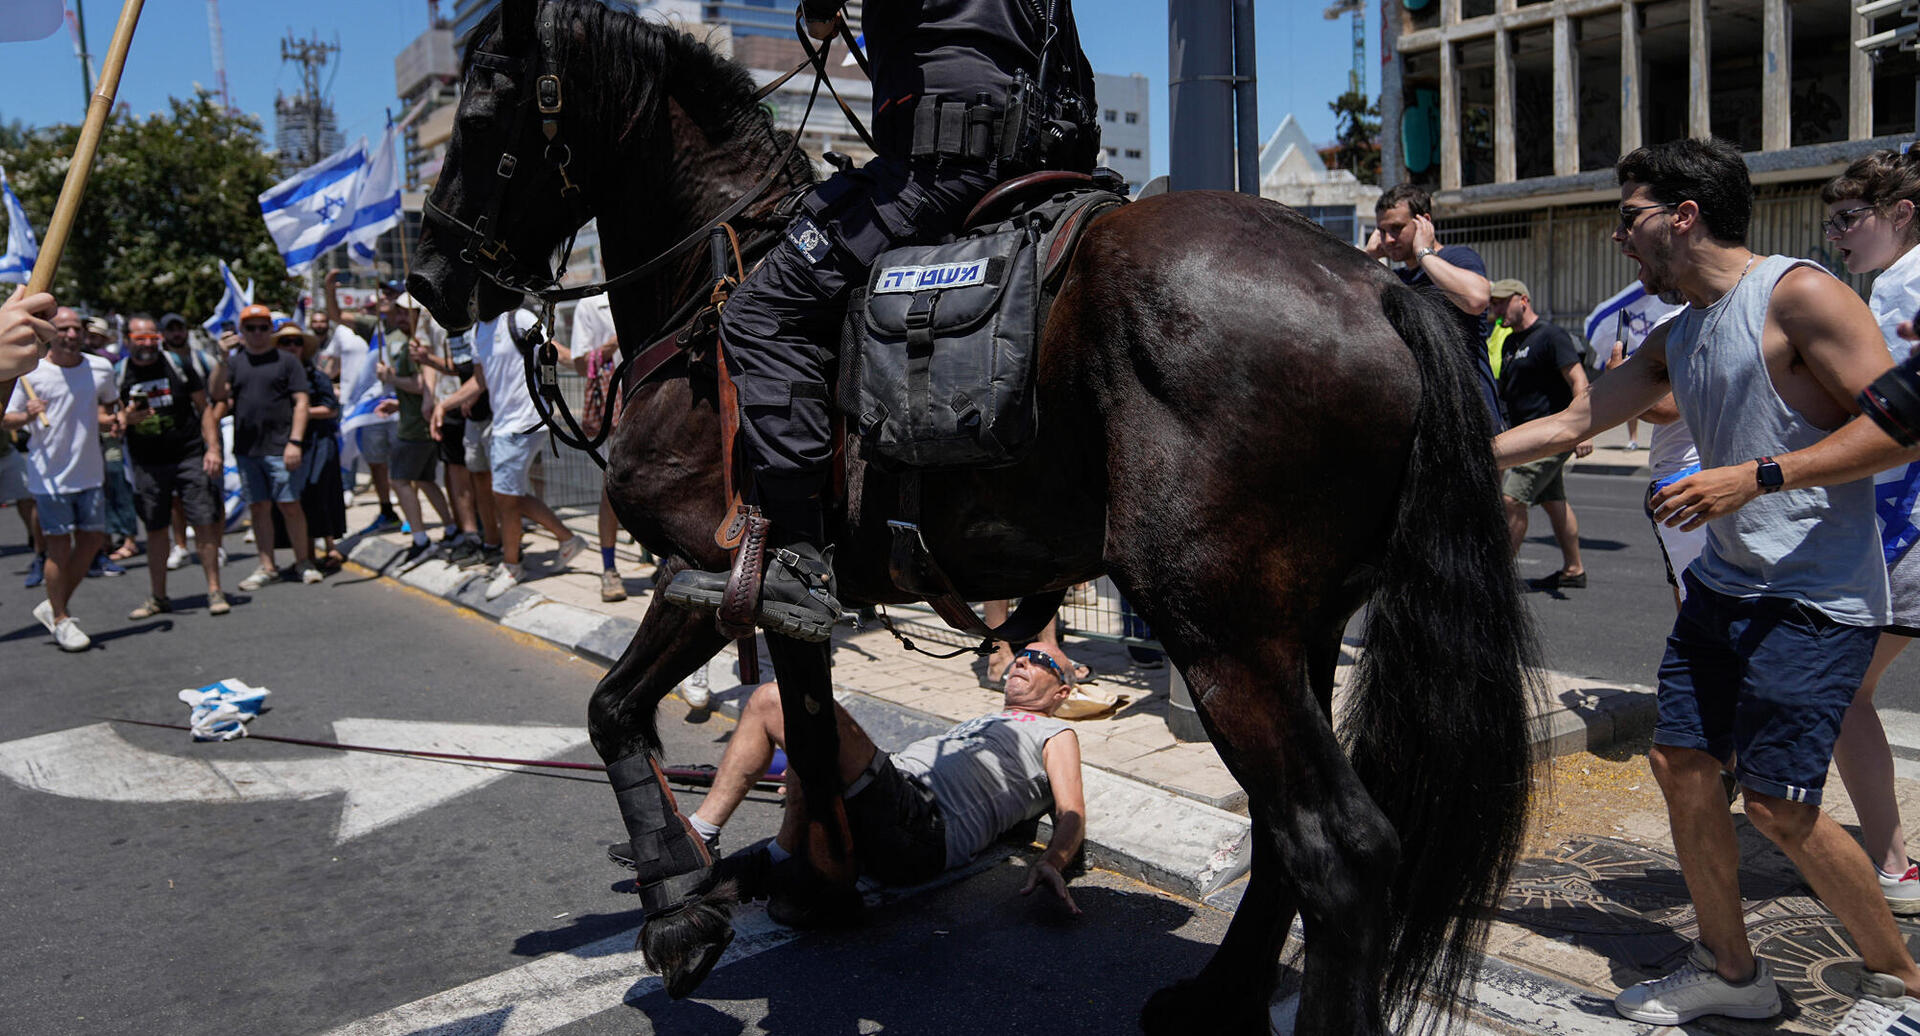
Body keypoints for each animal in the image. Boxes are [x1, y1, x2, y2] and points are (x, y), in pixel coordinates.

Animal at [408, 4, 1543, 1028]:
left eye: (482, 118)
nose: (427, 278)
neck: (710, 297)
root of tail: (1376, 287)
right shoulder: (789, 601)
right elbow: (807, 736)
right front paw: (816, 886)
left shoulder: (704, 571)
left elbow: (611, 711)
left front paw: (679, 912)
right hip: (1293, 632)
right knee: (1281, 834)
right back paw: (1216, 991)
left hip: (1219, 632)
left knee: (1340, 850)